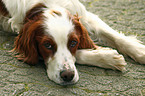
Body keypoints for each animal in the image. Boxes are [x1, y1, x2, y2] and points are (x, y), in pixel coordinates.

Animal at [0, 0, 145, 85]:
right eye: (47, 45)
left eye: (74, 42)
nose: (68, 76)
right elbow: (79, 55)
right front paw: (108, 57)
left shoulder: (84, 16)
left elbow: (112, 34)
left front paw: (139, 51)